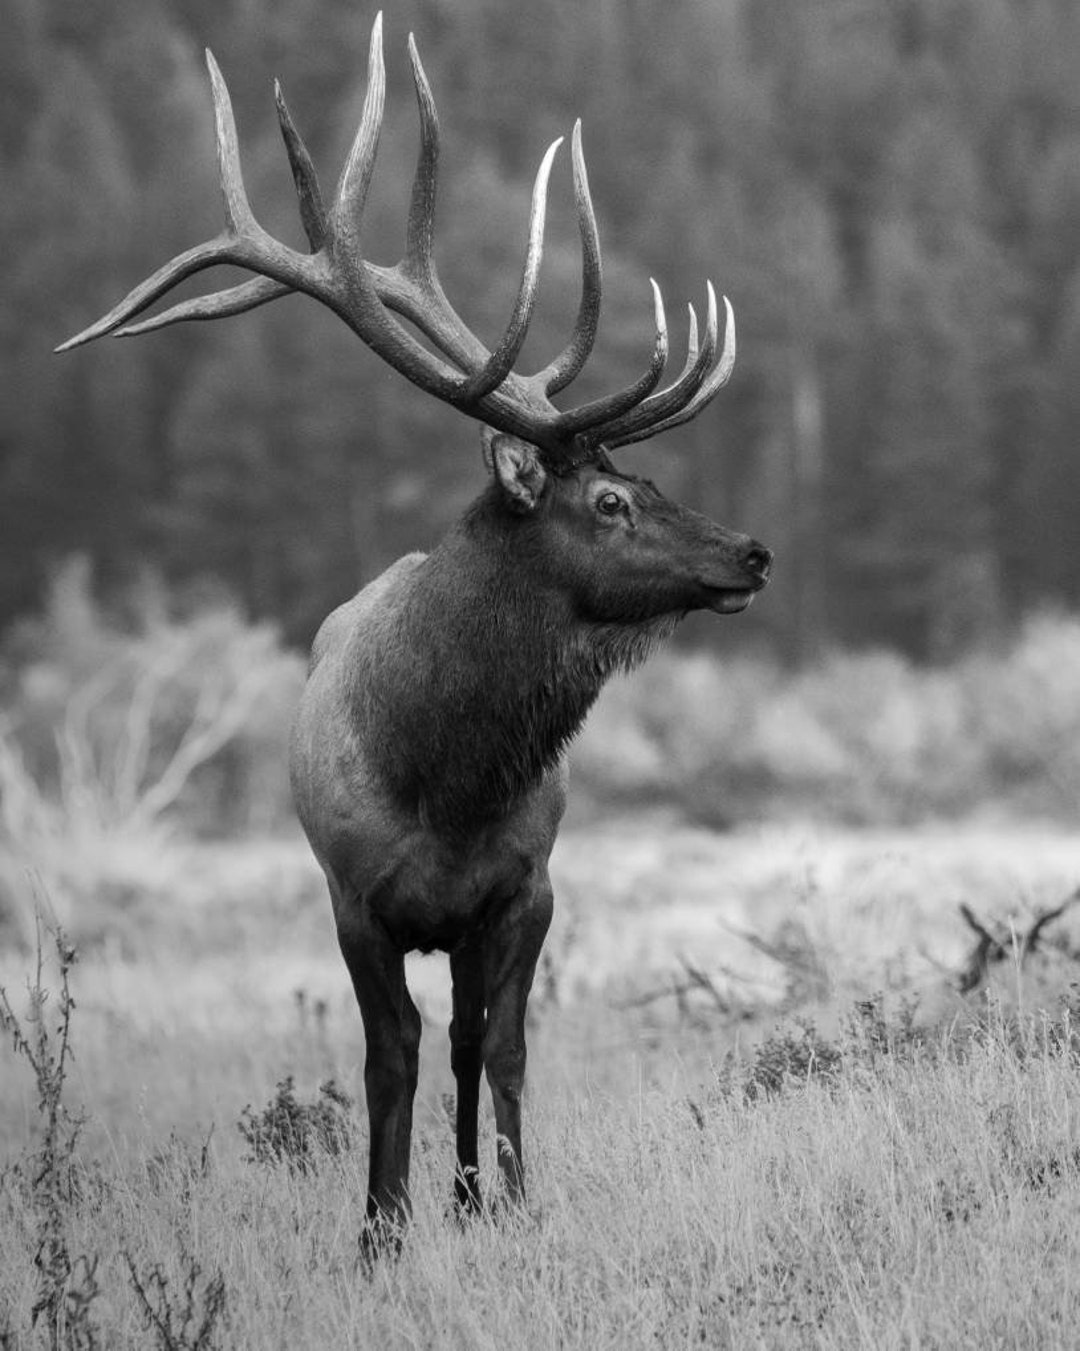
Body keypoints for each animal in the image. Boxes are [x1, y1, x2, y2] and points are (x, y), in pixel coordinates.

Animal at [58, 14, 772, 1249]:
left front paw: (507, 1203)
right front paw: (380, 1230)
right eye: (611, 501)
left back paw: (470, 1192)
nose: (753, 553)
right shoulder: (356, 901)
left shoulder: (527, 888)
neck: (448, 776)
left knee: (470, 1041)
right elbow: (387, 1058)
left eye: (649, 480)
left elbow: (503, 1047)